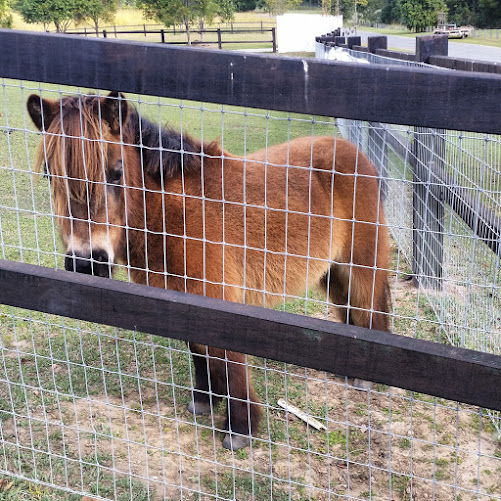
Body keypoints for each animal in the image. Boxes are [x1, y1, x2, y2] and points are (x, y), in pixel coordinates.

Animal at [27, 91, 390, 450]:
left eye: (115, 173)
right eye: (50, 175)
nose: (87, 261)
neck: (173, 214)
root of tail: (353, 153)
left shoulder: (218, 301)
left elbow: (227, 361)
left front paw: (240, 428)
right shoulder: (183, 300)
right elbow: (199, 353)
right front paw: (204, 400)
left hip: (359, 264)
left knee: (368, 305)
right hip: (331, 271)